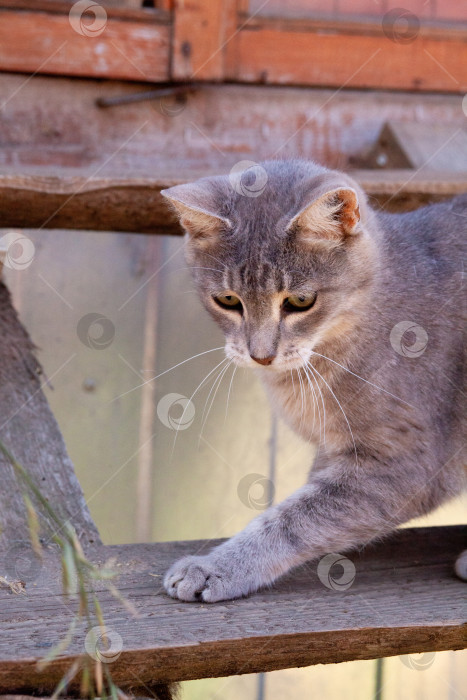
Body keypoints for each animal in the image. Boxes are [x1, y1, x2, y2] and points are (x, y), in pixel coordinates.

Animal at [160, 160, 464, 600]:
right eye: (228, 301)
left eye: (301, 302)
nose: (261, 354)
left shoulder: (410, 460)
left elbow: (296, 517)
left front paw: (217, 567)